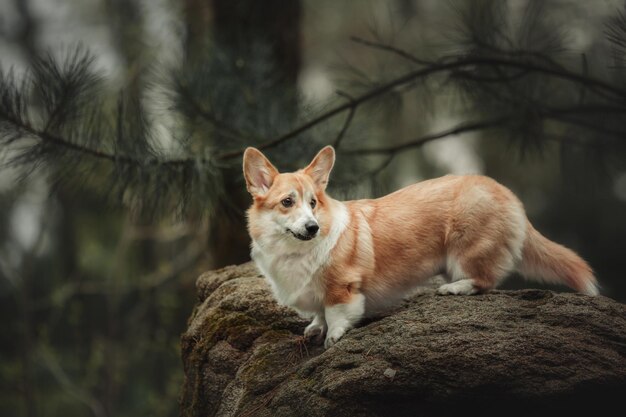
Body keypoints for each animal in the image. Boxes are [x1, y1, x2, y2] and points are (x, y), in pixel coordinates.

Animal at [241, 145, 596, 346]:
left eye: (313, 203)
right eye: (288, 202)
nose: (313, 227)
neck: (294, 251)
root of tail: (505, 193)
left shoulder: (343, 287)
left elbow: (337, 313)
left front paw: (332, 337)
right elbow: (318, 313)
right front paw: (315, 328)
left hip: (465, 248)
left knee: (485, 280)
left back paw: (455, 288)